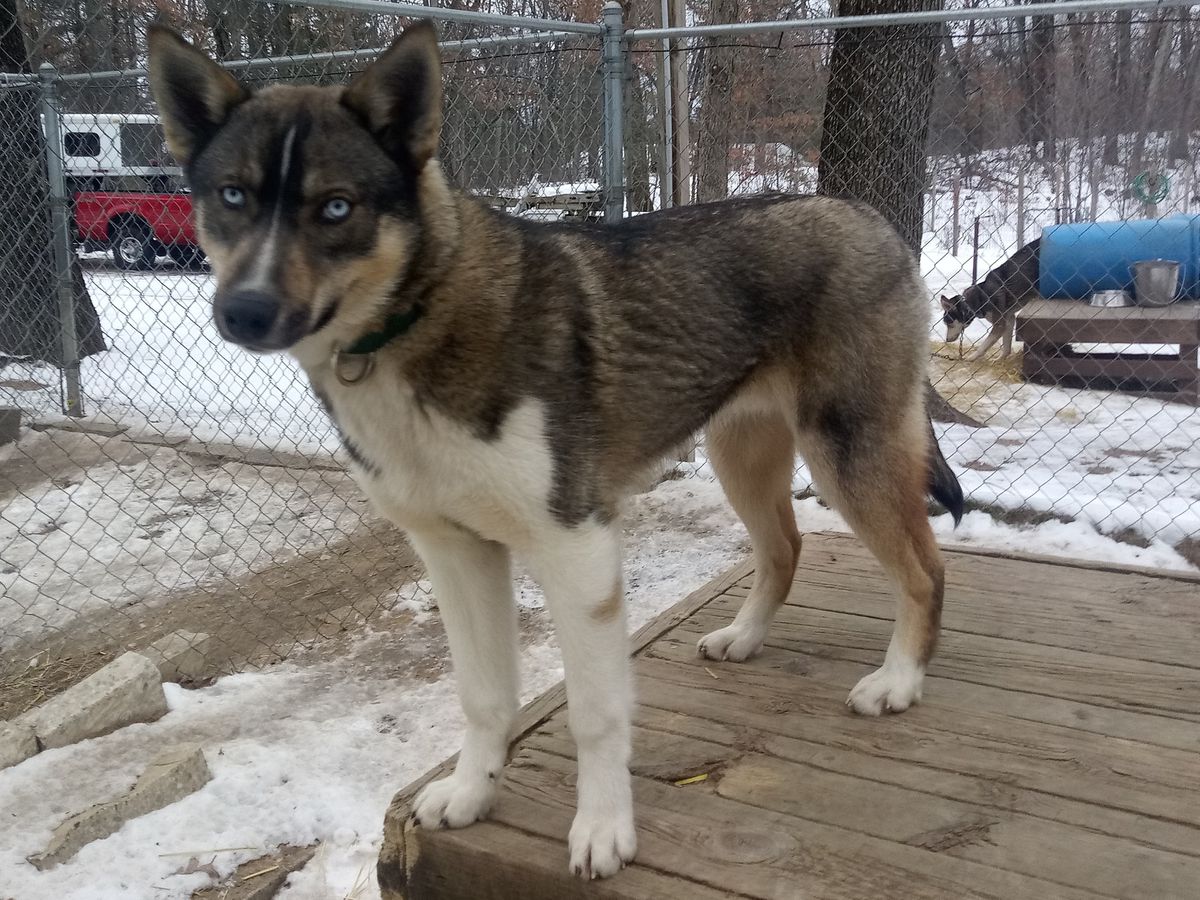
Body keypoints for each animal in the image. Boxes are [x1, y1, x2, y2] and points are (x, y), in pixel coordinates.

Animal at [147, 19, 964, 883]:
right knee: (786, 548)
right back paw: (745, 638)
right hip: (741, 458)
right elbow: (482, 697)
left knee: (924, 568)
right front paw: (471, 794)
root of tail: (868, 215)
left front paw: (603, 830)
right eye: (233, 196)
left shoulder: (576, 548)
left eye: (336, 207)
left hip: (849, 456)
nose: (243, 311)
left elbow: (594, 715)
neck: (415, 321)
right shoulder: (455, 552)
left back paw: (899, 680)